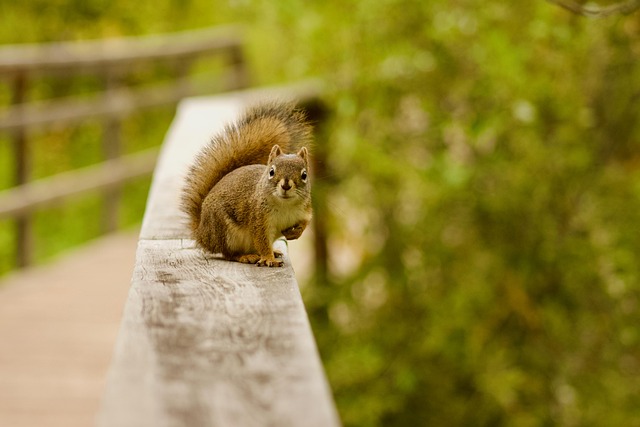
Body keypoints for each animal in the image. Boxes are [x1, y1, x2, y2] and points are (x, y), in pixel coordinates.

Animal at [181, 102, 313, 267]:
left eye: (304, 175)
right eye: (271, 171)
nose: (286, 186)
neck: (285, 205)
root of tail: (202, 233)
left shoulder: (305, 211)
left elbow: (305, 223)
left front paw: (295, 233)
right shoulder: (258, 219)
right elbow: (262, 241)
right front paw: (269, 259)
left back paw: (273, 251)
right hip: (225, 232)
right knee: (228, 254)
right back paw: (246, 256)